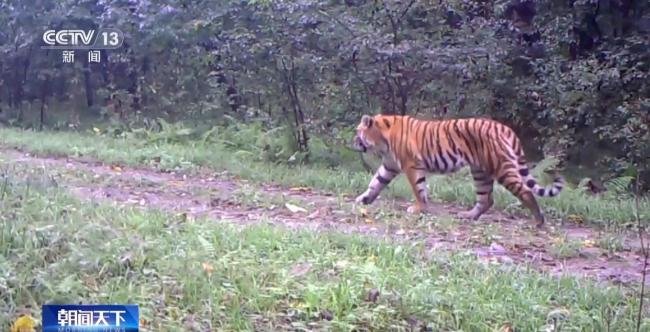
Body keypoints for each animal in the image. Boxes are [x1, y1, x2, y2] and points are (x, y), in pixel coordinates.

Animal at [350, 115, 560, 228]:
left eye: (358, 132)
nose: (352, 142)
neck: (382, 141)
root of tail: (505, 128)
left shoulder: (411, 165)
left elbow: (418, 189)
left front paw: (419, 208)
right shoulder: (389, 165)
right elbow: (375, 183)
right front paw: (363, 199)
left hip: (501, 168)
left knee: (525, 191)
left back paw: (538, 221)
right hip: (480, 171)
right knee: (486, 198)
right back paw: (468, 216)